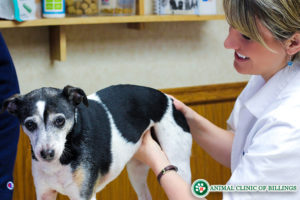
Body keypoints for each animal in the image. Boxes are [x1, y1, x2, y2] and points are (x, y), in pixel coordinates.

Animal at [1, 85, 192, 200]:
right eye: (29, 124)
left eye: (60, 121)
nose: (47, 154)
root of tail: (168, 99)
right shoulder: (44, 193)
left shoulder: (84, 195)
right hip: (136, 171)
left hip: (180, 166)